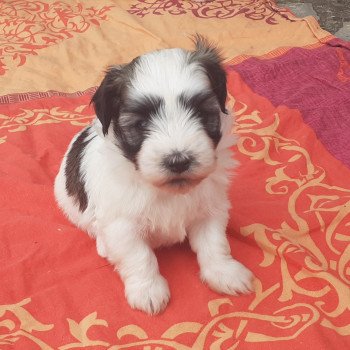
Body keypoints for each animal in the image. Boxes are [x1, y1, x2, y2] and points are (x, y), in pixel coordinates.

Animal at [54, 36, 253, 314]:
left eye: (202, 114)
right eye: (141, 124)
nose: (178, 161)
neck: (166, 190)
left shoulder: (209, 207)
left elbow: (215, 242)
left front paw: (224, 272)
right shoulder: (122, 224)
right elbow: (139, 255)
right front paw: (147, 290)